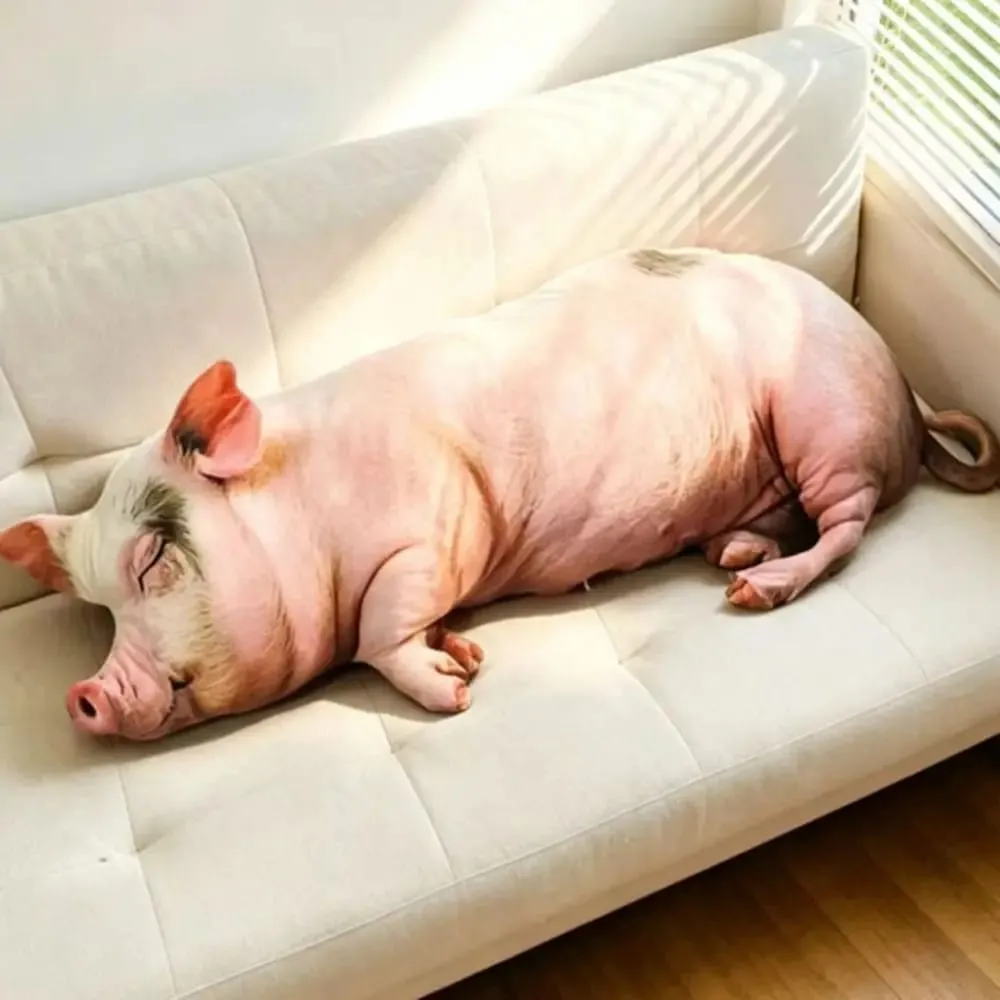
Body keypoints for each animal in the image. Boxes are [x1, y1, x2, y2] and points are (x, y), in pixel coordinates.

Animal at [1, 247, 997, 741]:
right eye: (97, 607)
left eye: (152, 561)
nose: (83, 695)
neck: (309, 515)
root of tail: (903, 387)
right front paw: (465, 656)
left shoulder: (436, 528)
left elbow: (379, 630)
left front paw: (454, 691)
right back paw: (734, 551)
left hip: (826, 422)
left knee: (850, 526)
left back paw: (754, 590)